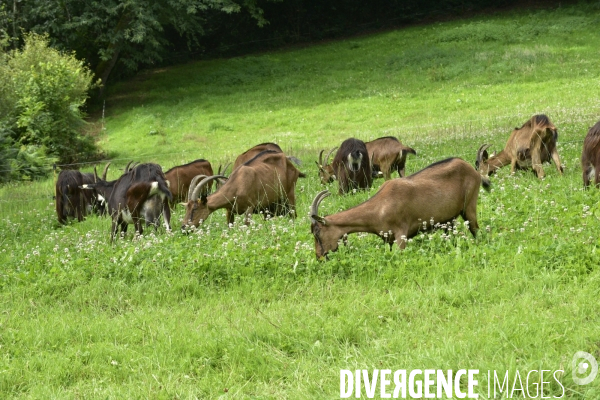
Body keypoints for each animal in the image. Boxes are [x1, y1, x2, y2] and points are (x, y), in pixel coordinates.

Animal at [312, 156, 490, 260]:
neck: (379, 207)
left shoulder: (401, 234)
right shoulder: (389, 239)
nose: (319, 257)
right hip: (448, 220)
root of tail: (475, 172)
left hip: (470, 206)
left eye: (317, 232)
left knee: (475, 229)